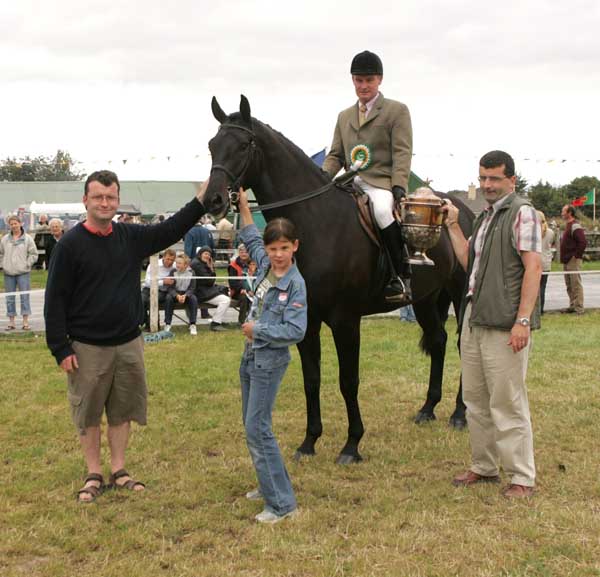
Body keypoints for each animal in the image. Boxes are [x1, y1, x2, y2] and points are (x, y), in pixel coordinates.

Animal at [205, 94, 474, 464]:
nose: (212, 200)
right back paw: (428, 408)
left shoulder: (346, 320)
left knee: (462, 345)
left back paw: (460, 414)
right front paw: (309, 442)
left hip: (460, 295)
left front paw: (352, 445)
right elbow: (312, 378)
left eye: (244, 145)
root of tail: (464, 209)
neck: (316, 222)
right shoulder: (307, 320)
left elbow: (349, 380)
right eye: (212, 145)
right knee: (438, 340)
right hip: (424, 300)